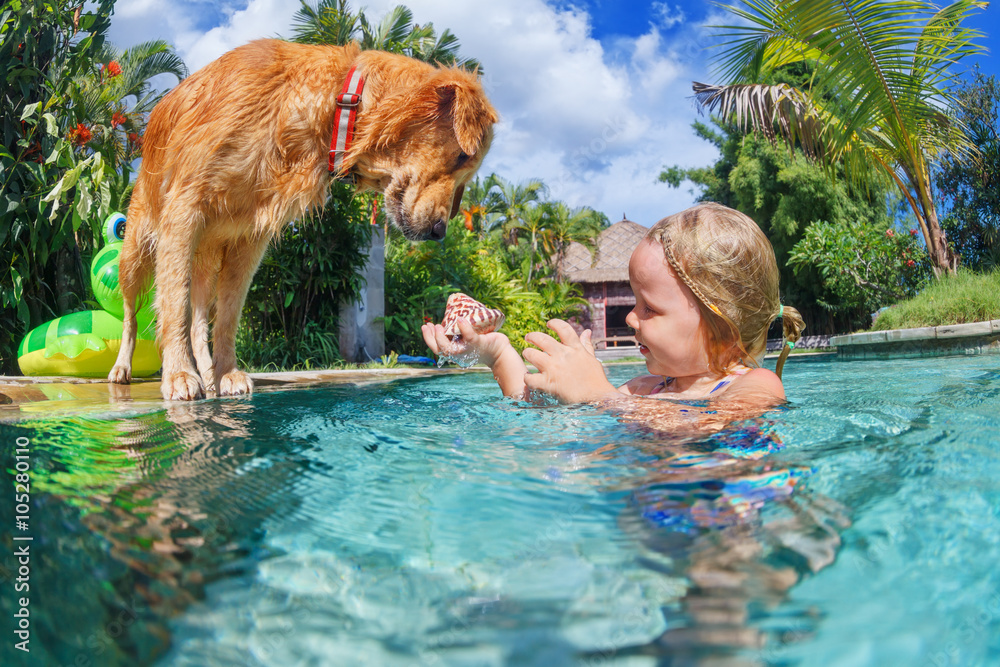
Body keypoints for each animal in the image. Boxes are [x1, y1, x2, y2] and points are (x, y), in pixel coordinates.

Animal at [109, 40, 496, 402]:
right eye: (462, 157)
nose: (439, 232)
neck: (336, 103)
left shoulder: (250, 239)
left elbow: (229, 315)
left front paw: (225, 372)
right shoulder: (184, 210)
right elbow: (174, 302)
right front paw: (178, 374)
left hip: (206, 260)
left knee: (200, 319)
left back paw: (206, 371)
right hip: (136, 252)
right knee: (130, 316)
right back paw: (123, 368)